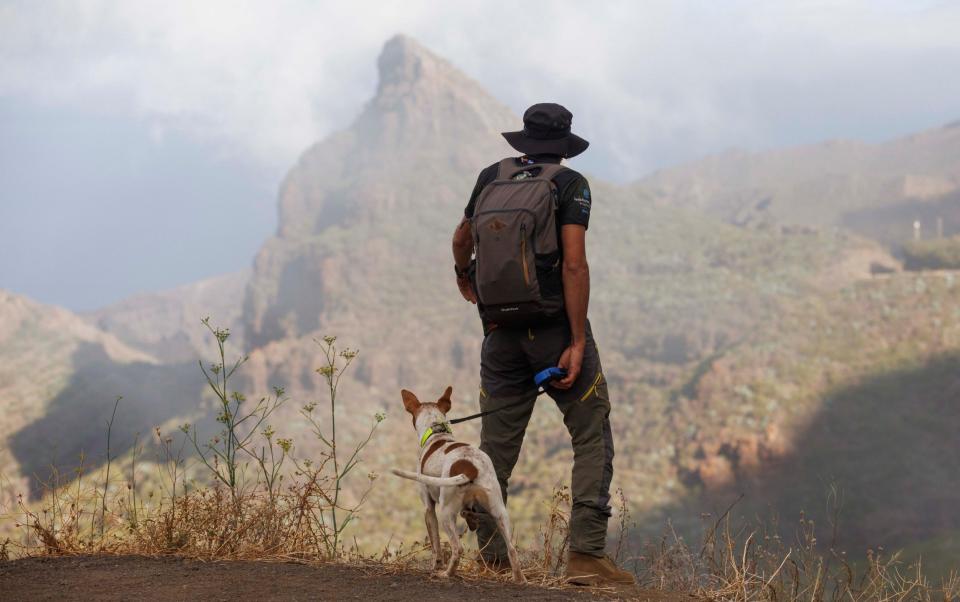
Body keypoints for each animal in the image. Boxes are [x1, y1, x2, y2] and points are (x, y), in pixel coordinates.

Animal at [390, 386, 524, 580]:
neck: (437, 432)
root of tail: (470, 467)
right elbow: (468, 514)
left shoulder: (429, 508)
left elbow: (435, 544)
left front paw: (436, 566)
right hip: (499, 510)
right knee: (512, 550)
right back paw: (520, 579)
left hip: (446, 513)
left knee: (457, 548)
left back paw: (446, 573)